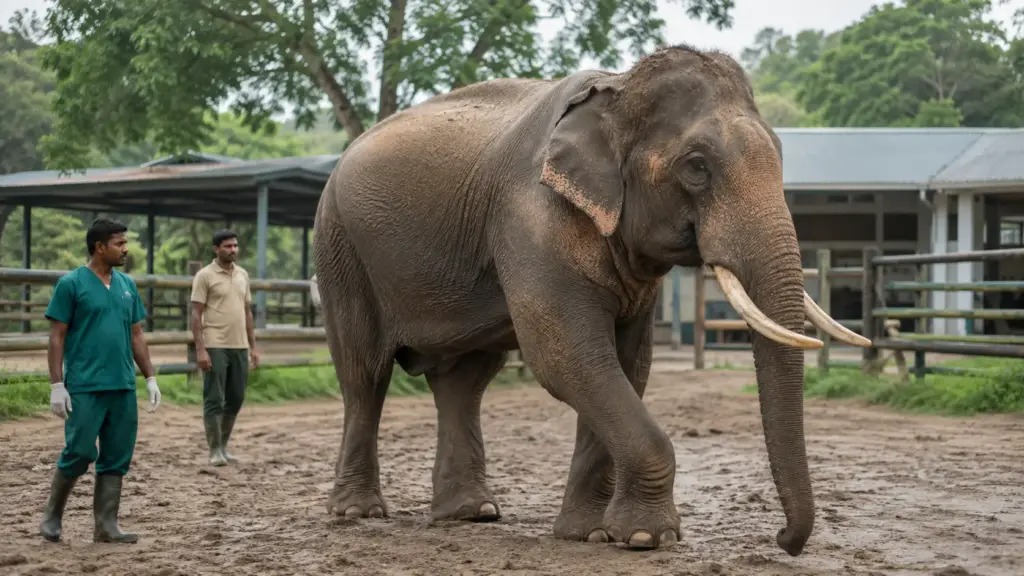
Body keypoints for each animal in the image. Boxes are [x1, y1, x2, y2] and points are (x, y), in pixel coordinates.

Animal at [310, 44, 870, 554]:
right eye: (696, 166)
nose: (784, 541)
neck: (619, 86)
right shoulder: (531, 215)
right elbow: (569, 358)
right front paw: (648, 538)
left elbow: (627, 362)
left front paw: (588, 534)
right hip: (339, 248)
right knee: (364, 374)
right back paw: (360, 513)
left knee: (463, 380)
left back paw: (471, 514)